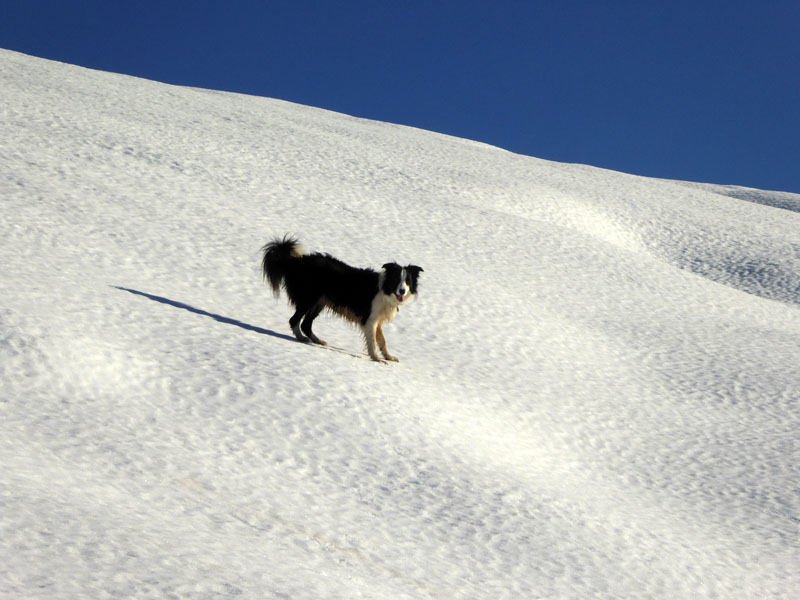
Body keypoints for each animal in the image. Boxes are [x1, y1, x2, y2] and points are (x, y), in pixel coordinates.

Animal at [262, 236, 424, 360]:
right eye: (396, 280)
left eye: (407, 281)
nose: (402, 291)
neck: (385, 290)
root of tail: (296, 262)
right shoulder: (370, 320)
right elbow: (372, 341)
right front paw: (376, 358)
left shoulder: (378, 320)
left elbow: (382, 341)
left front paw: (388, 357)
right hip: (309, 298)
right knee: (294, 320)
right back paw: (302, 339)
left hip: (320, 302)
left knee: (306, 324)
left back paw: (317, 341)